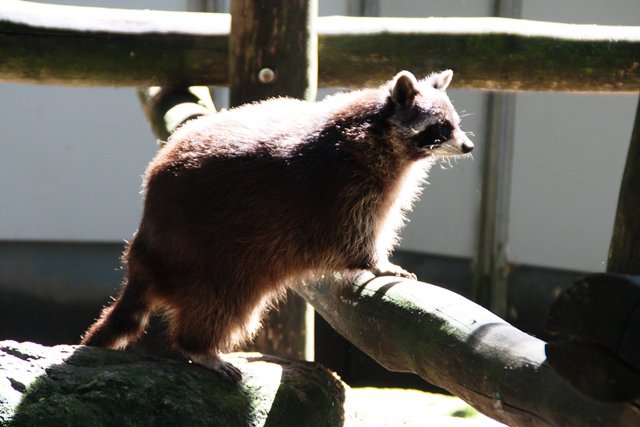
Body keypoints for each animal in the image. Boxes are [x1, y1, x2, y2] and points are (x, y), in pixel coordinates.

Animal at [81, 70, 474, 382]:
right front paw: (377, 262)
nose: (469, 146)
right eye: (440, 126)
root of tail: (144, 255)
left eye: (455, 121)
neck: (378, 132)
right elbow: (353, 235)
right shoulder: (342, 185)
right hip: (210, 256)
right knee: (220, 304)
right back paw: (198, 346)